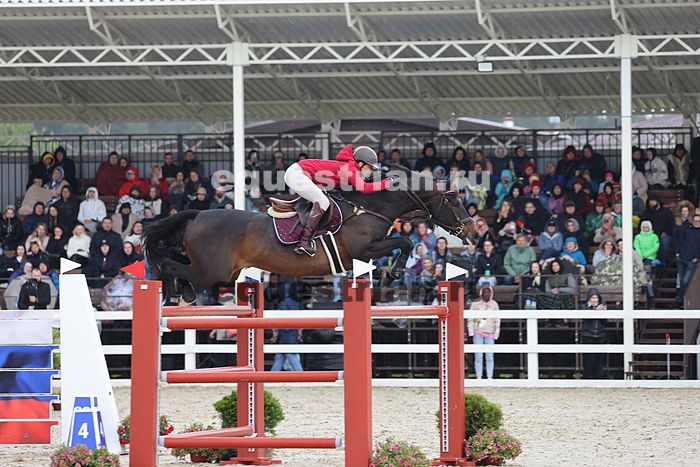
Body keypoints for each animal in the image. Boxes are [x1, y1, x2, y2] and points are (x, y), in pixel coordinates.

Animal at [143, 166, 475, 301]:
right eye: (454, 201)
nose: (471, 230)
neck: (369, 207)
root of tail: (199, 214)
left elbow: (403, 242)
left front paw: (387, 275)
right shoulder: (362, 250)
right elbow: (404, 241)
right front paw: (389, 275)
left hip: (219, 270)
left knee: (173, 259)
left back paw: (182, 292)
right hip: (214, 271)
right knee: (170, 265)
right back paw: (173, 292)